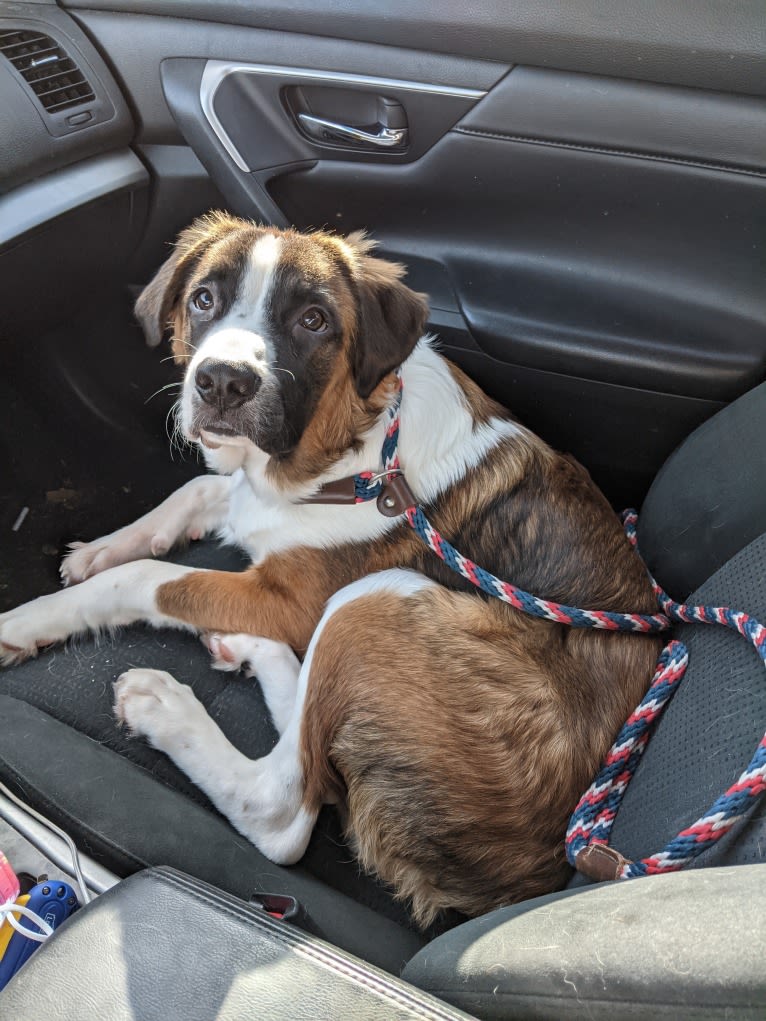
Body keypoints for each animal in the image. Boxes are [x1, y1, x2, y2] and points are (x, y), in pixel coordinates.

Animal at [0, 213, 661, 927]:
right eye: (203, 300)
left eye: (314, 320)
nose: (223, 382)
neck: (344, 449)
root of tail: (530, 875)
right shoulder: (252, 506)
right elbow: (193, 493)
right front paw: (100, 549)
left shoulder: (293, 599)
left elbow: (146, 578)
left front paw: (24, 622)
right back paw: (245, 646)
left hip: (374, 602)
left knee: (285, 809)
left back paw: (167, 707)